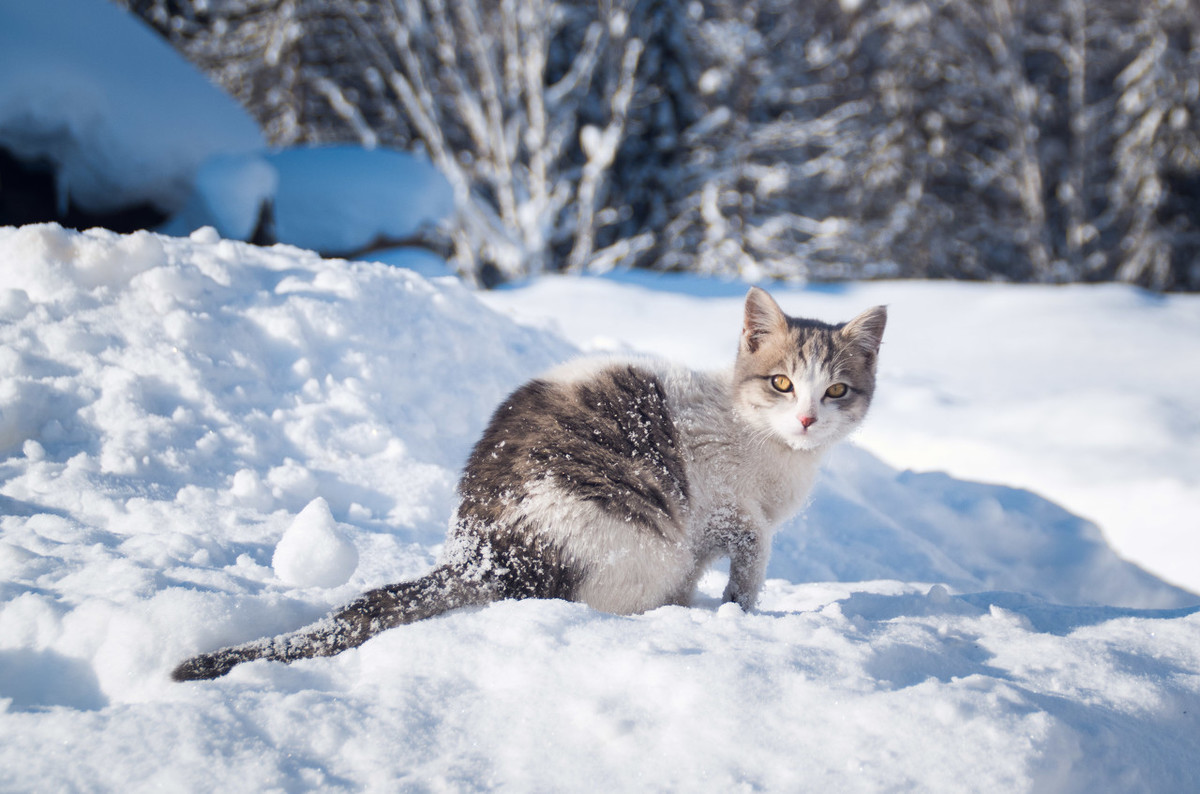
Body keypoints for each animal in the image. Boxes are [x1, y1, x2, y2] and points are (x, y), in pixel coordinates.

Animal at [171, 289, 883, 681]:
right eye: (782, 383)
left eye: (837, 390)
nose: (808, 417)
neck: (770, 444)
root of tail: (480, 551)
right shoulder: (721, 501)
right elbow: (755, 548)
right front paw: (739, 606)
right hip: (639, 539)